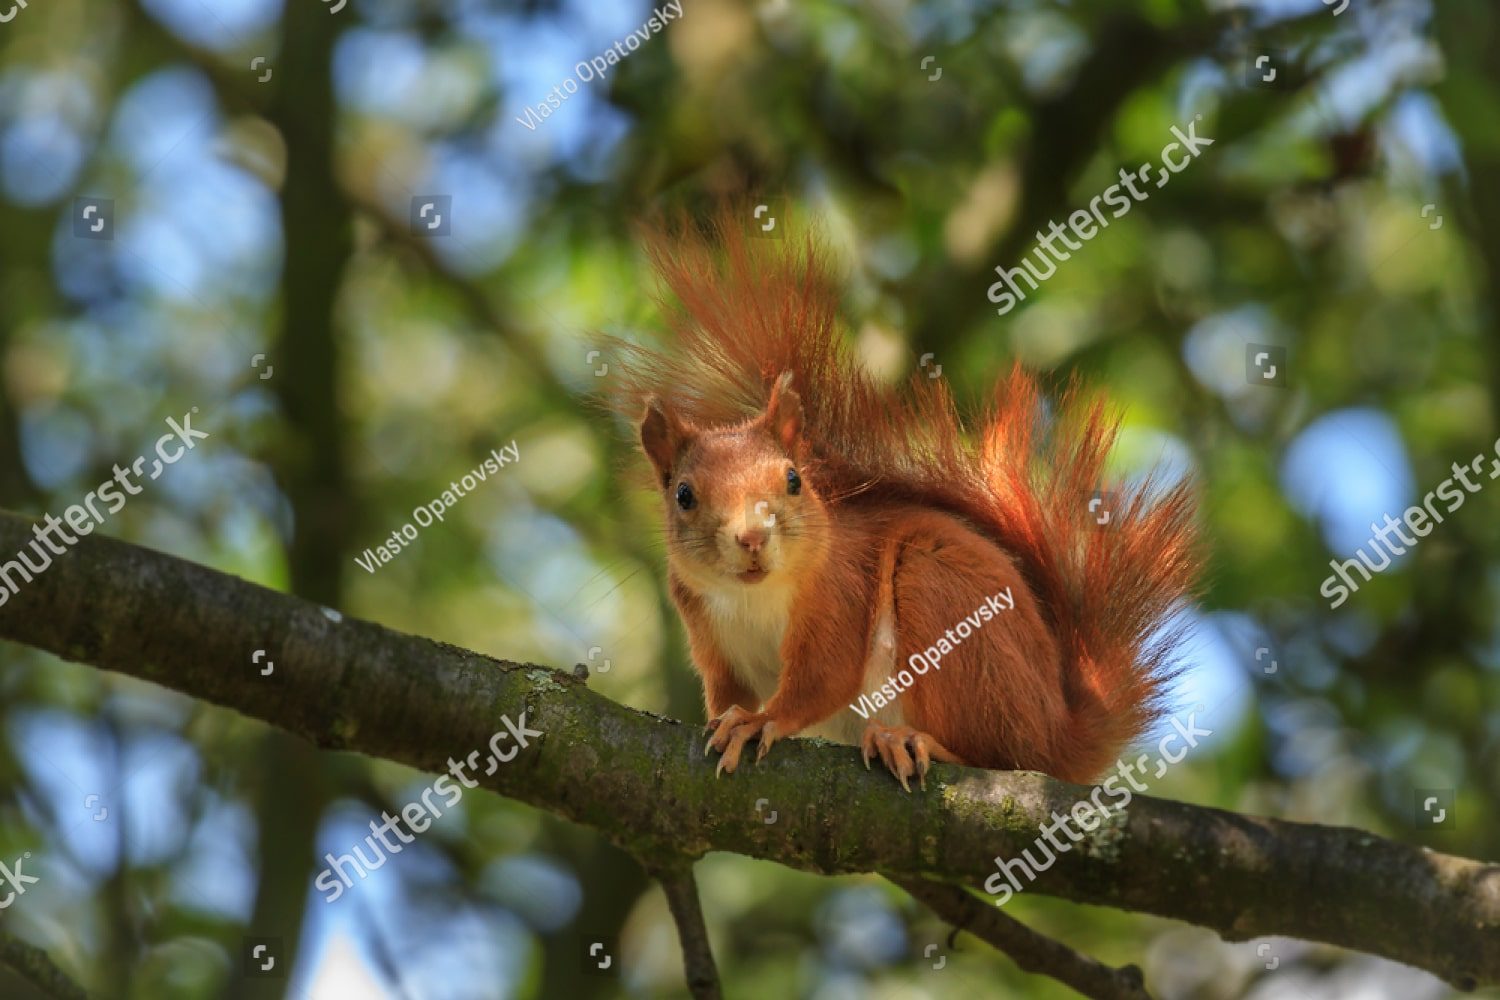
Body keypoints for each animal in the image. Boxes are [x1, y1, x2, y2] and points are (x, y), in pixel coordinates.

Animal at [606, 214, 1199, 790]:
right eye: (683, 495)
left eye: (795, 480)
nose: (751, 538)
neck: (753, 597)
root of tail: (1058, 733)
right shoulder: (706, 630)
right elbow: (725, 692)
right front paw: (725, 719)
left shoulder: (840, 592)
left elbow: (821, 679)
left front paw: (760, 720)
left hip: (942, 600)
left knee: (998, 754)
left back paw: (911, 740)